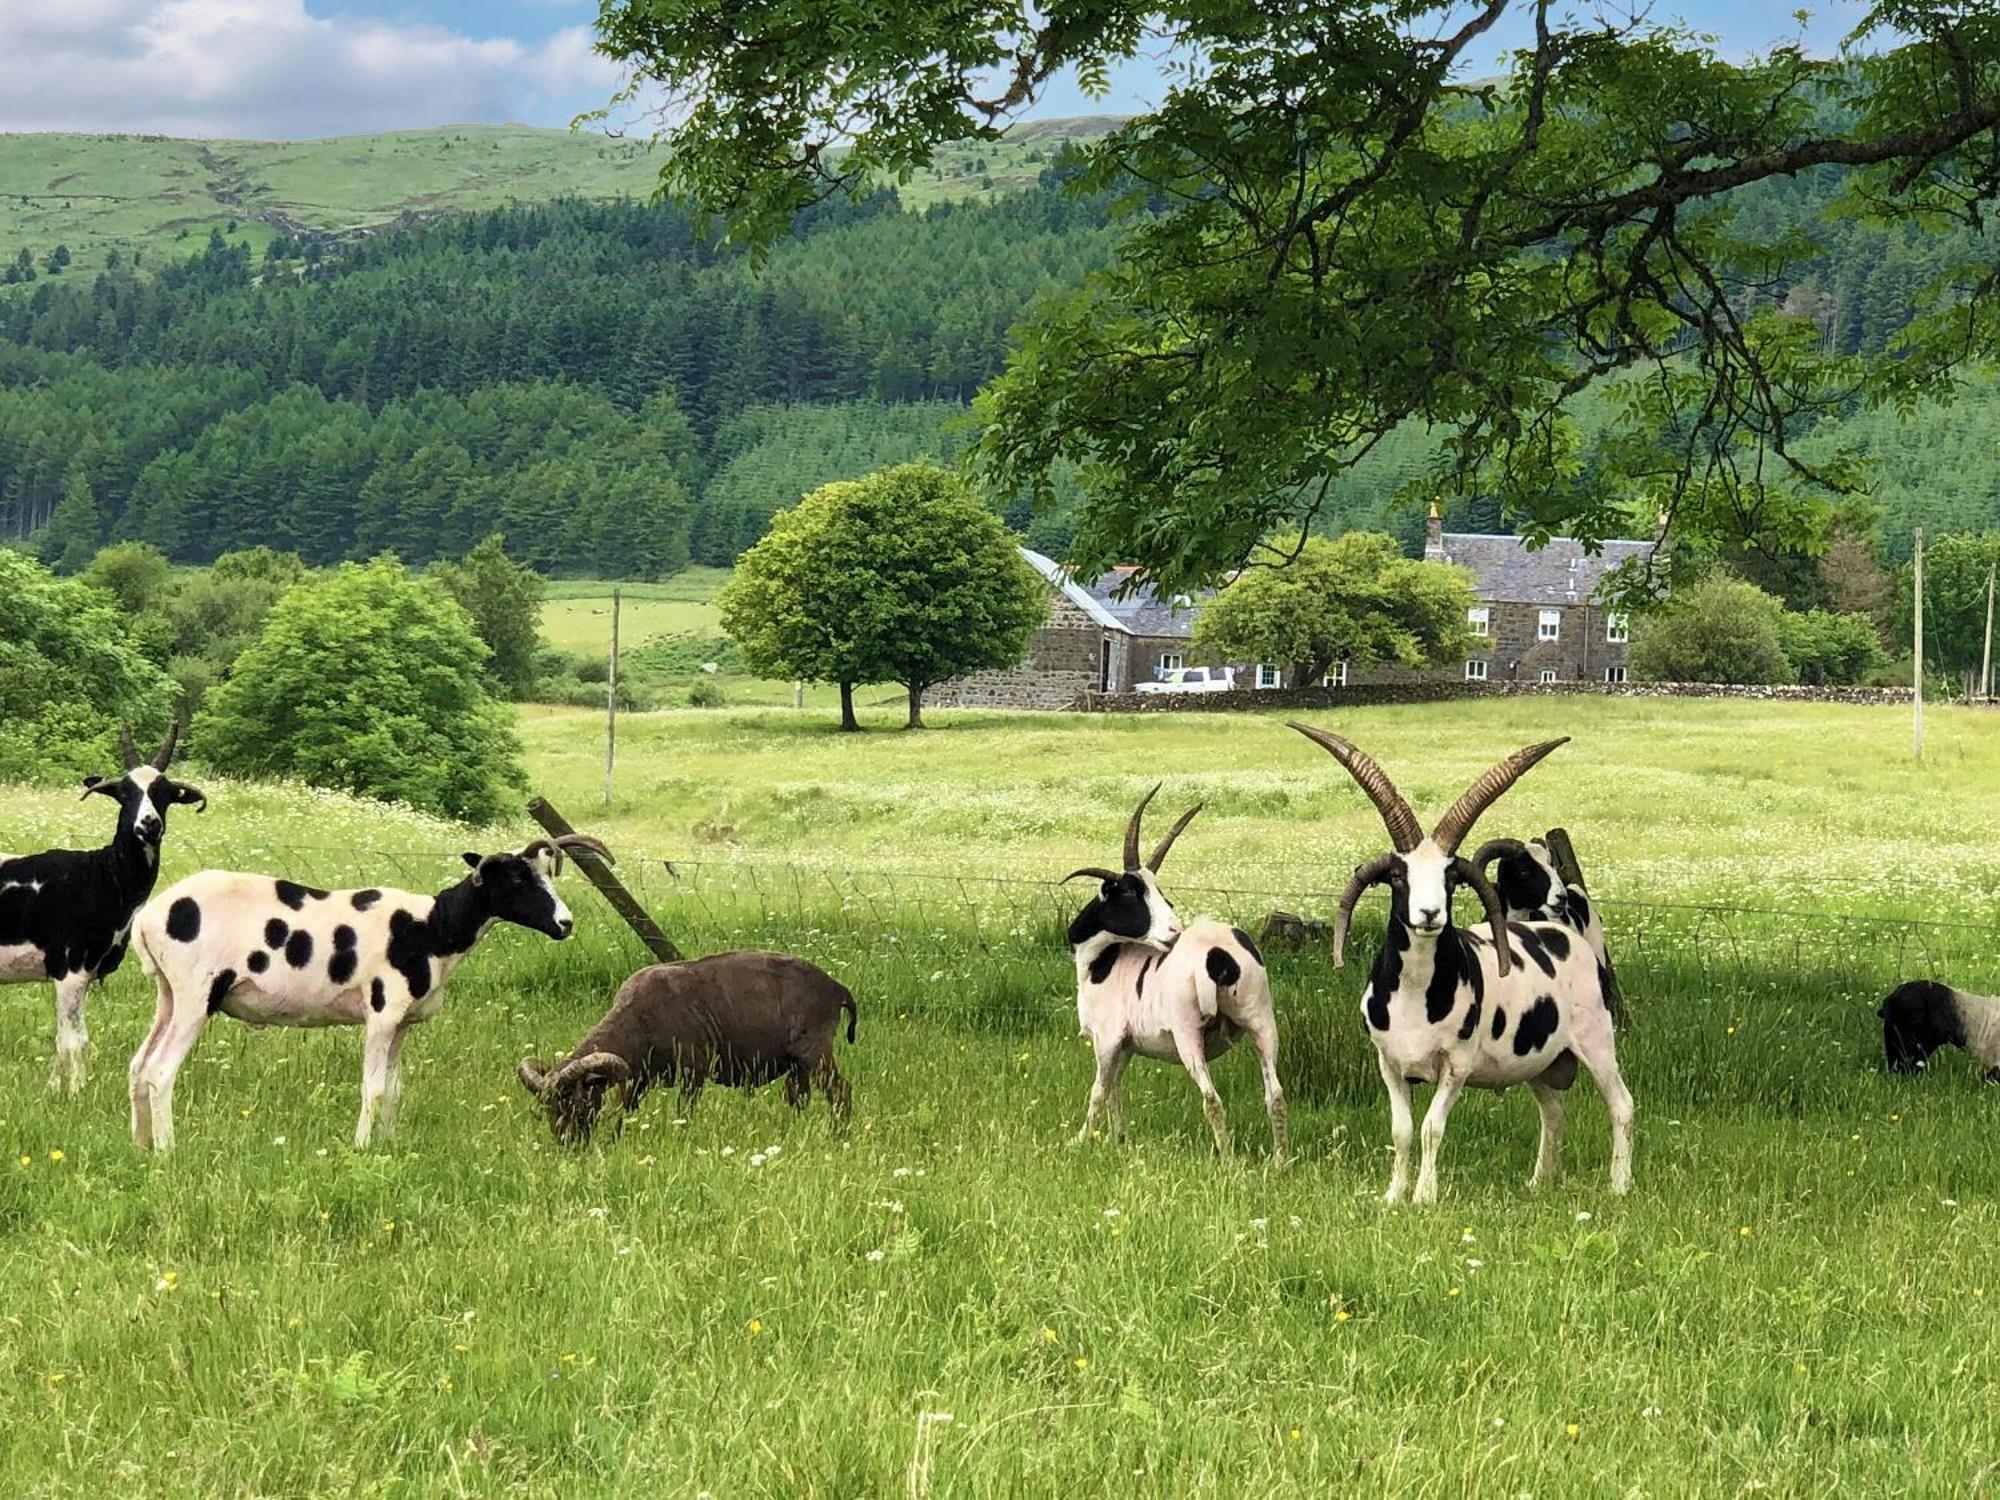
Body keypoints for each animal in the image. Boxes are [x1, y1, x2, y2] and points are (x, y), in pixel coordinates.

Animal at [128, 836, 604, 1152]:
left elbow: (393, 1088)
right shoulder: (382, 1013)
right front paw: (360, 1147)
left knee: (138, 1066)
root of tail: (148, 918)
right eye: (518, 881)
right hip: (196, 994)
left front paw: (389, 1144)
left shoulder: (403, 1024)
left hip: (169, 994)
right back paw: (169, 1150)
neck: (434, 928)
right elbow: (372, 1087)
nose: (565, 924)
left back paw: (141, 1145)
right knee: (161, 1071)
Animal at [512, 952, 856, 1152]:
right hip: (798, 1065)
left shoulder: (693, 1071)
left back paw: (837, 1135)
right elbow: (625, 1112)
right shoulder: (638, 1080)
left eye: (577, 1104)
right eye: (548, 1108)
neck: (637, 1018)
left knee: (841, 1091)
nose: (567, 1145)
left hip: (816, 1052)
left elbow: (684, 1111)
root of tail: (837, 988)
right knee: (799, 1098)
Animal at [1064, 788, 1280, 1160]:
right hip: (1261, 1021)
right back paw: (1282, 1159)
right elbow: (1115, 1089)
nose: (1173, 931)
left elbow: (1098, 1091)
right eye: (1130, 893)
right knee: (1275, 1096)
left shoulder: (1107, 1040)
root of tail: (1219, 956)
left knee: (1211, 1098)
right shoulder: (1126, 1045)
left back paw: (1228, 1159)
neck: (1102, 961)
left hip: (1187, 1033)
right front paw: (1119, 1138)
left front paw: (1081, 1140)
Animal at [1288, 728, 1632, 1208]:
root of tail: (1567, 936)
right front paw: (1393, 1195)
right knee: (1553, 1110)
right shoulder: (1389, 1064)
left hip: (1596, 1038)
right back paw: (1540, 1181)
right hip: (1539, 1063)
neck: (1415, 997)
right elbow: (1401, 1131)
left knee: (1621, 1105)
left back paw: (1619, 1184)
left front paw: (1424, 1196)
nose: (1429, 914)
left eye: (1450, 879)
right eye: (1399, 876)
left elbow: (1432, 1128)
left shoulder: (1456, 1067)